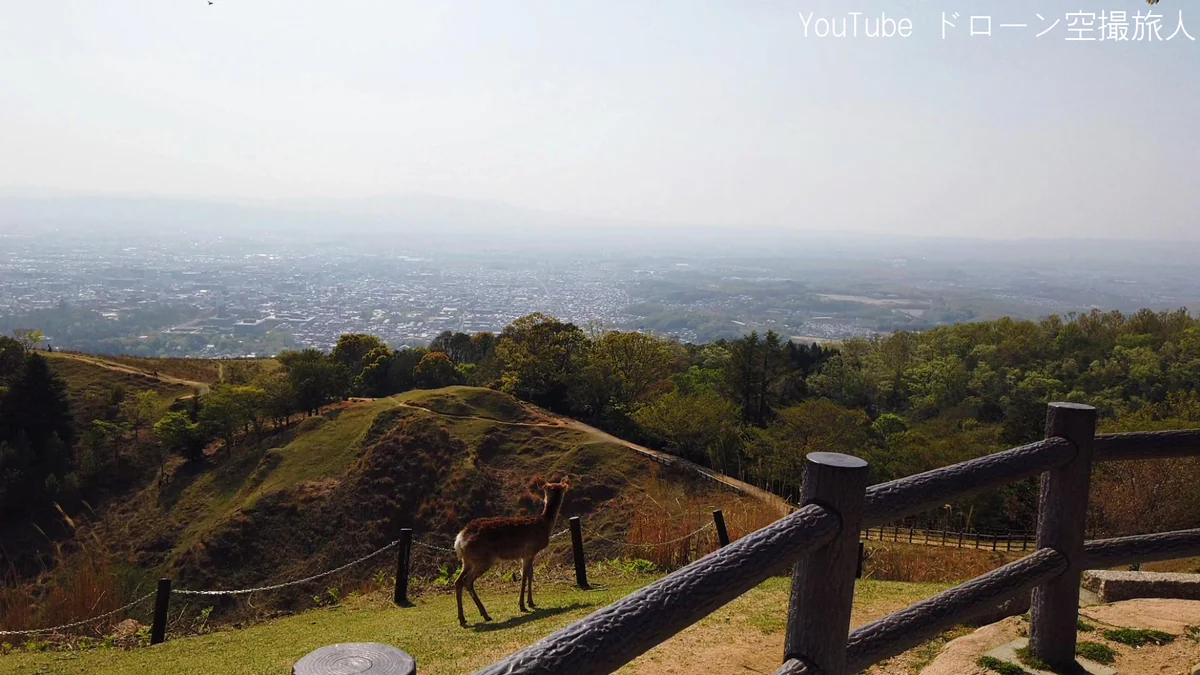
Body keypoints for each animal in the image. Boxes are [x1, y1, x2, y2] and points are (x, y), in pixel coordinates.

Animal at [453, 475, 571, 627]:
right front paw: (522, 605)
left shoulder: (528, 554)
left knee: (458, 581)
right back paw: (485, 614)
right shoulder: (529, 551)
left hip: (467, 561)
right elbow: (524, 576)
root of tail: (459, 540)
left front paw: (531, 602)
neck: (545, 525)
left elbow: (531, 574)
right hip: (483, 559)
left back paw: (463, 618)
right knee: (467, 581)